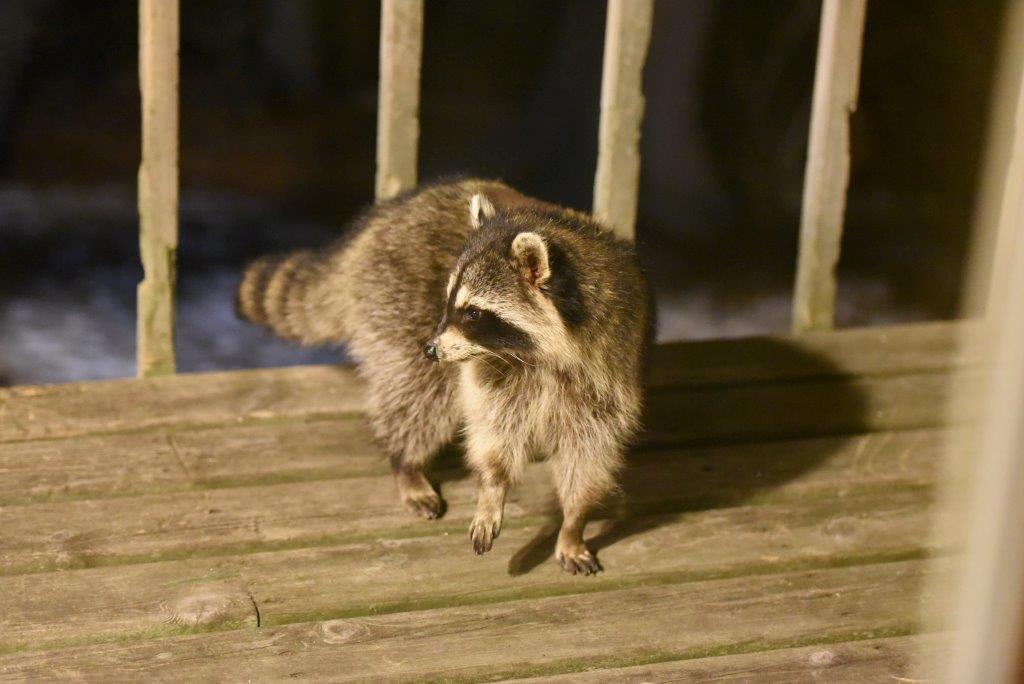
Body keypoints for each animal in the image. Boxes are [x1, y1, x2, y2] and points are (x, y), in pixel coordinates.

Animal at [237, 179, 649, 574]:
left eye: (473, 313)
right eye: (449, 301)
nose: (431, 349)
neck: (541, 356)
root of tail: (379, 221)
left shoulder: (608, 366)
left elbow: (590, 450)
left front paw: (573, 523)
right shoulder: (492, 370)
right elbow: (492, 430)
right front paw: (492, 488)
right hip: (394, 294)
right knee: (419, 394)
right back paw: (406, 462)